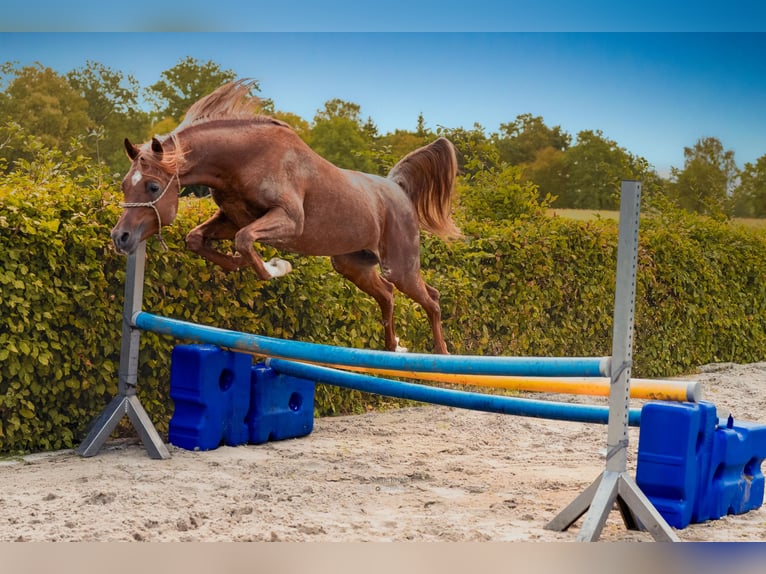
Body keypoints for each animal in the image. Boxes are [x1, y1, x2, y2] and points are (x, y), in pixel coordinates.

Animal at [111, 80, 460, 354]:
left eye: (153, 186)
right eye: (125, 185)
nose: (120, 237)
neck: (243, 159)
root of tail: (397, 188)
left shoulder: (289, 221)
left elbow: (246, 242)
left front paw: (277, 266)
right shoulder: (232, 217)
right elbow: (198, 239)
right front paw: (240, 263)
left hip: (400, 267)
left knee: (431, 298)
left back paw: (441, 357)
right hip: (352, 265)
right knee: (387, 295)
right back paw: (393, 349)